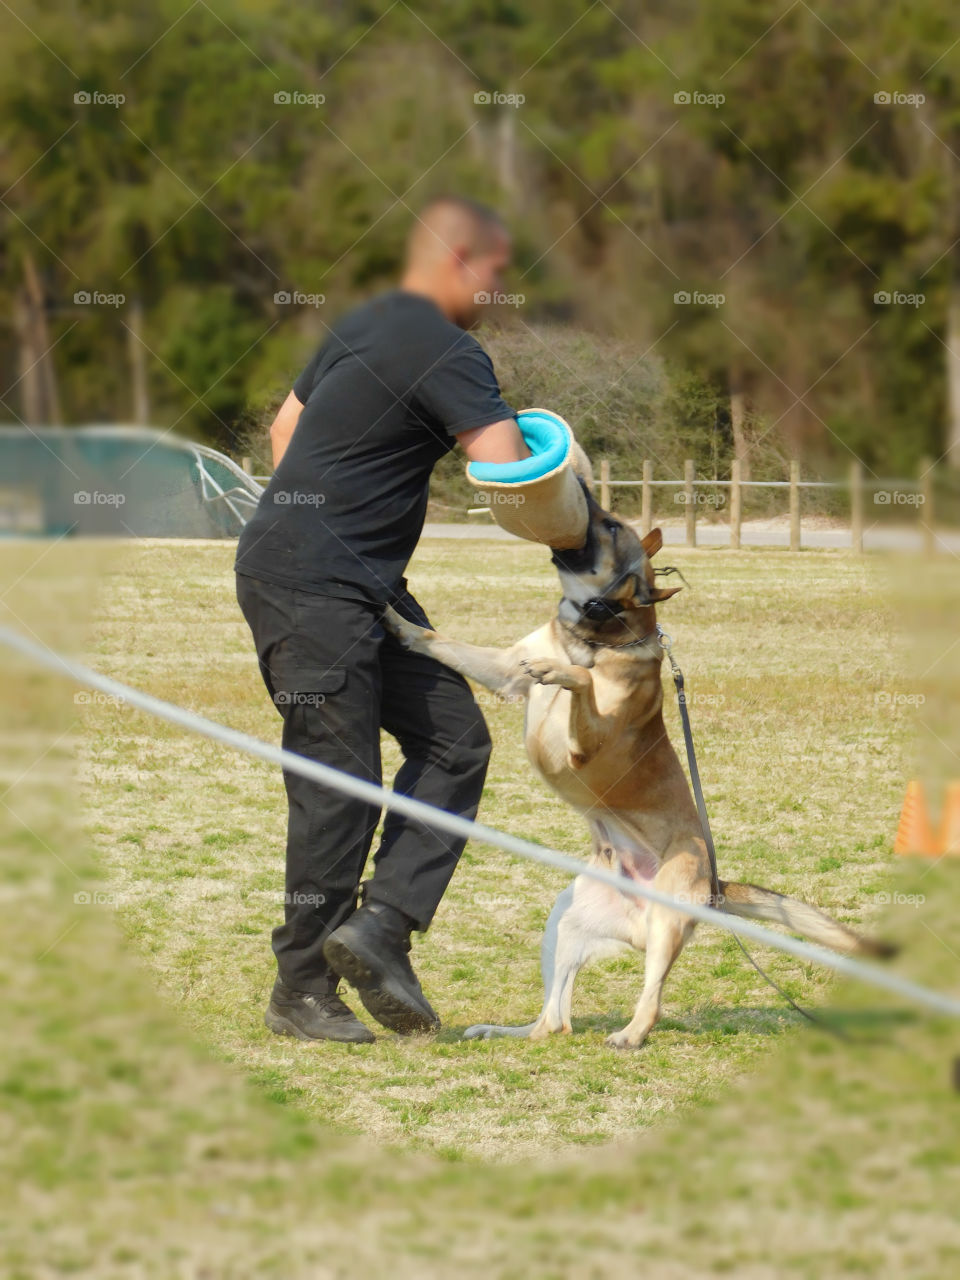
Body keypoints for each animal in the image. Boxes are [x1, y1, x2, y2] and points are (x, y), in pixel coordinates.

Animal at [384, 494, 896, 1044]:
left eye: (610, 526)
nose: (584, 501)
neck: (595, 637)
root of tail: (712, 888)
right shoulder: (503, 671)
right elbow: (437, 639)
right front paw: (395, 619)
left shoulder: (586, 743)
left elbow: (581, 680)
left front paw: (561, 671)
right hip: (564, 921)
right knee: (553, 1022)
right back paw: (504, 1031)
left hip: (665, 919)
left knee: (648, 996)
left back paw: (630, 1034)